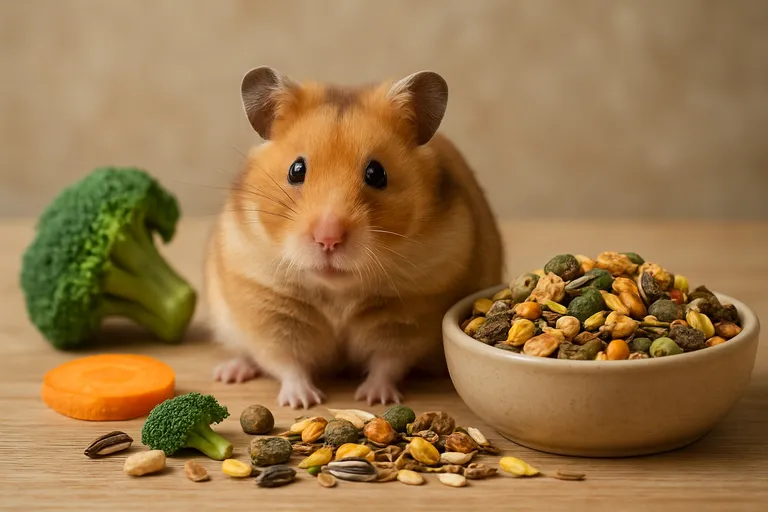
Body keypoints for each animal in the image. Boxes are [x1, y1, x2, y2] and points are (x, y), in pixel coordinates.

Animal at [204, 67, 503, 408]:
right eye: (296, 170)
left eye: (376, 173)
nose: (328, 239)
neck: (337, 292)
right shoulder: (268, 308)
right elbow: (286, 362)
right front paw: (303, 402)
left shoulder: (410, 314)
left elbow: (388, 362)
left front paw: (376, 399)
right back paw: (229, 372)